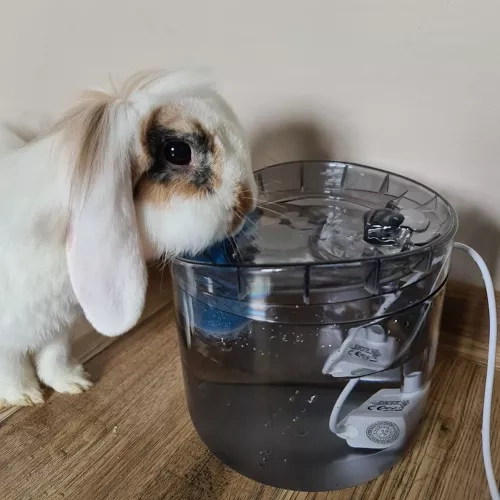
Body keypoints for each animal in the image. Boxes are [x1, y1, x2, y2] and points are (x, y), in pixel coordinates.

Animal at [0, 69, 258, 408]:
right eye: (178, 152)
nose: (248, 201)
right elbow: (10, 367)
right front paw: (25, 396)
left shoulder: (59, 326)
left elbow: (55, 356)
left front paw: (74, 383)